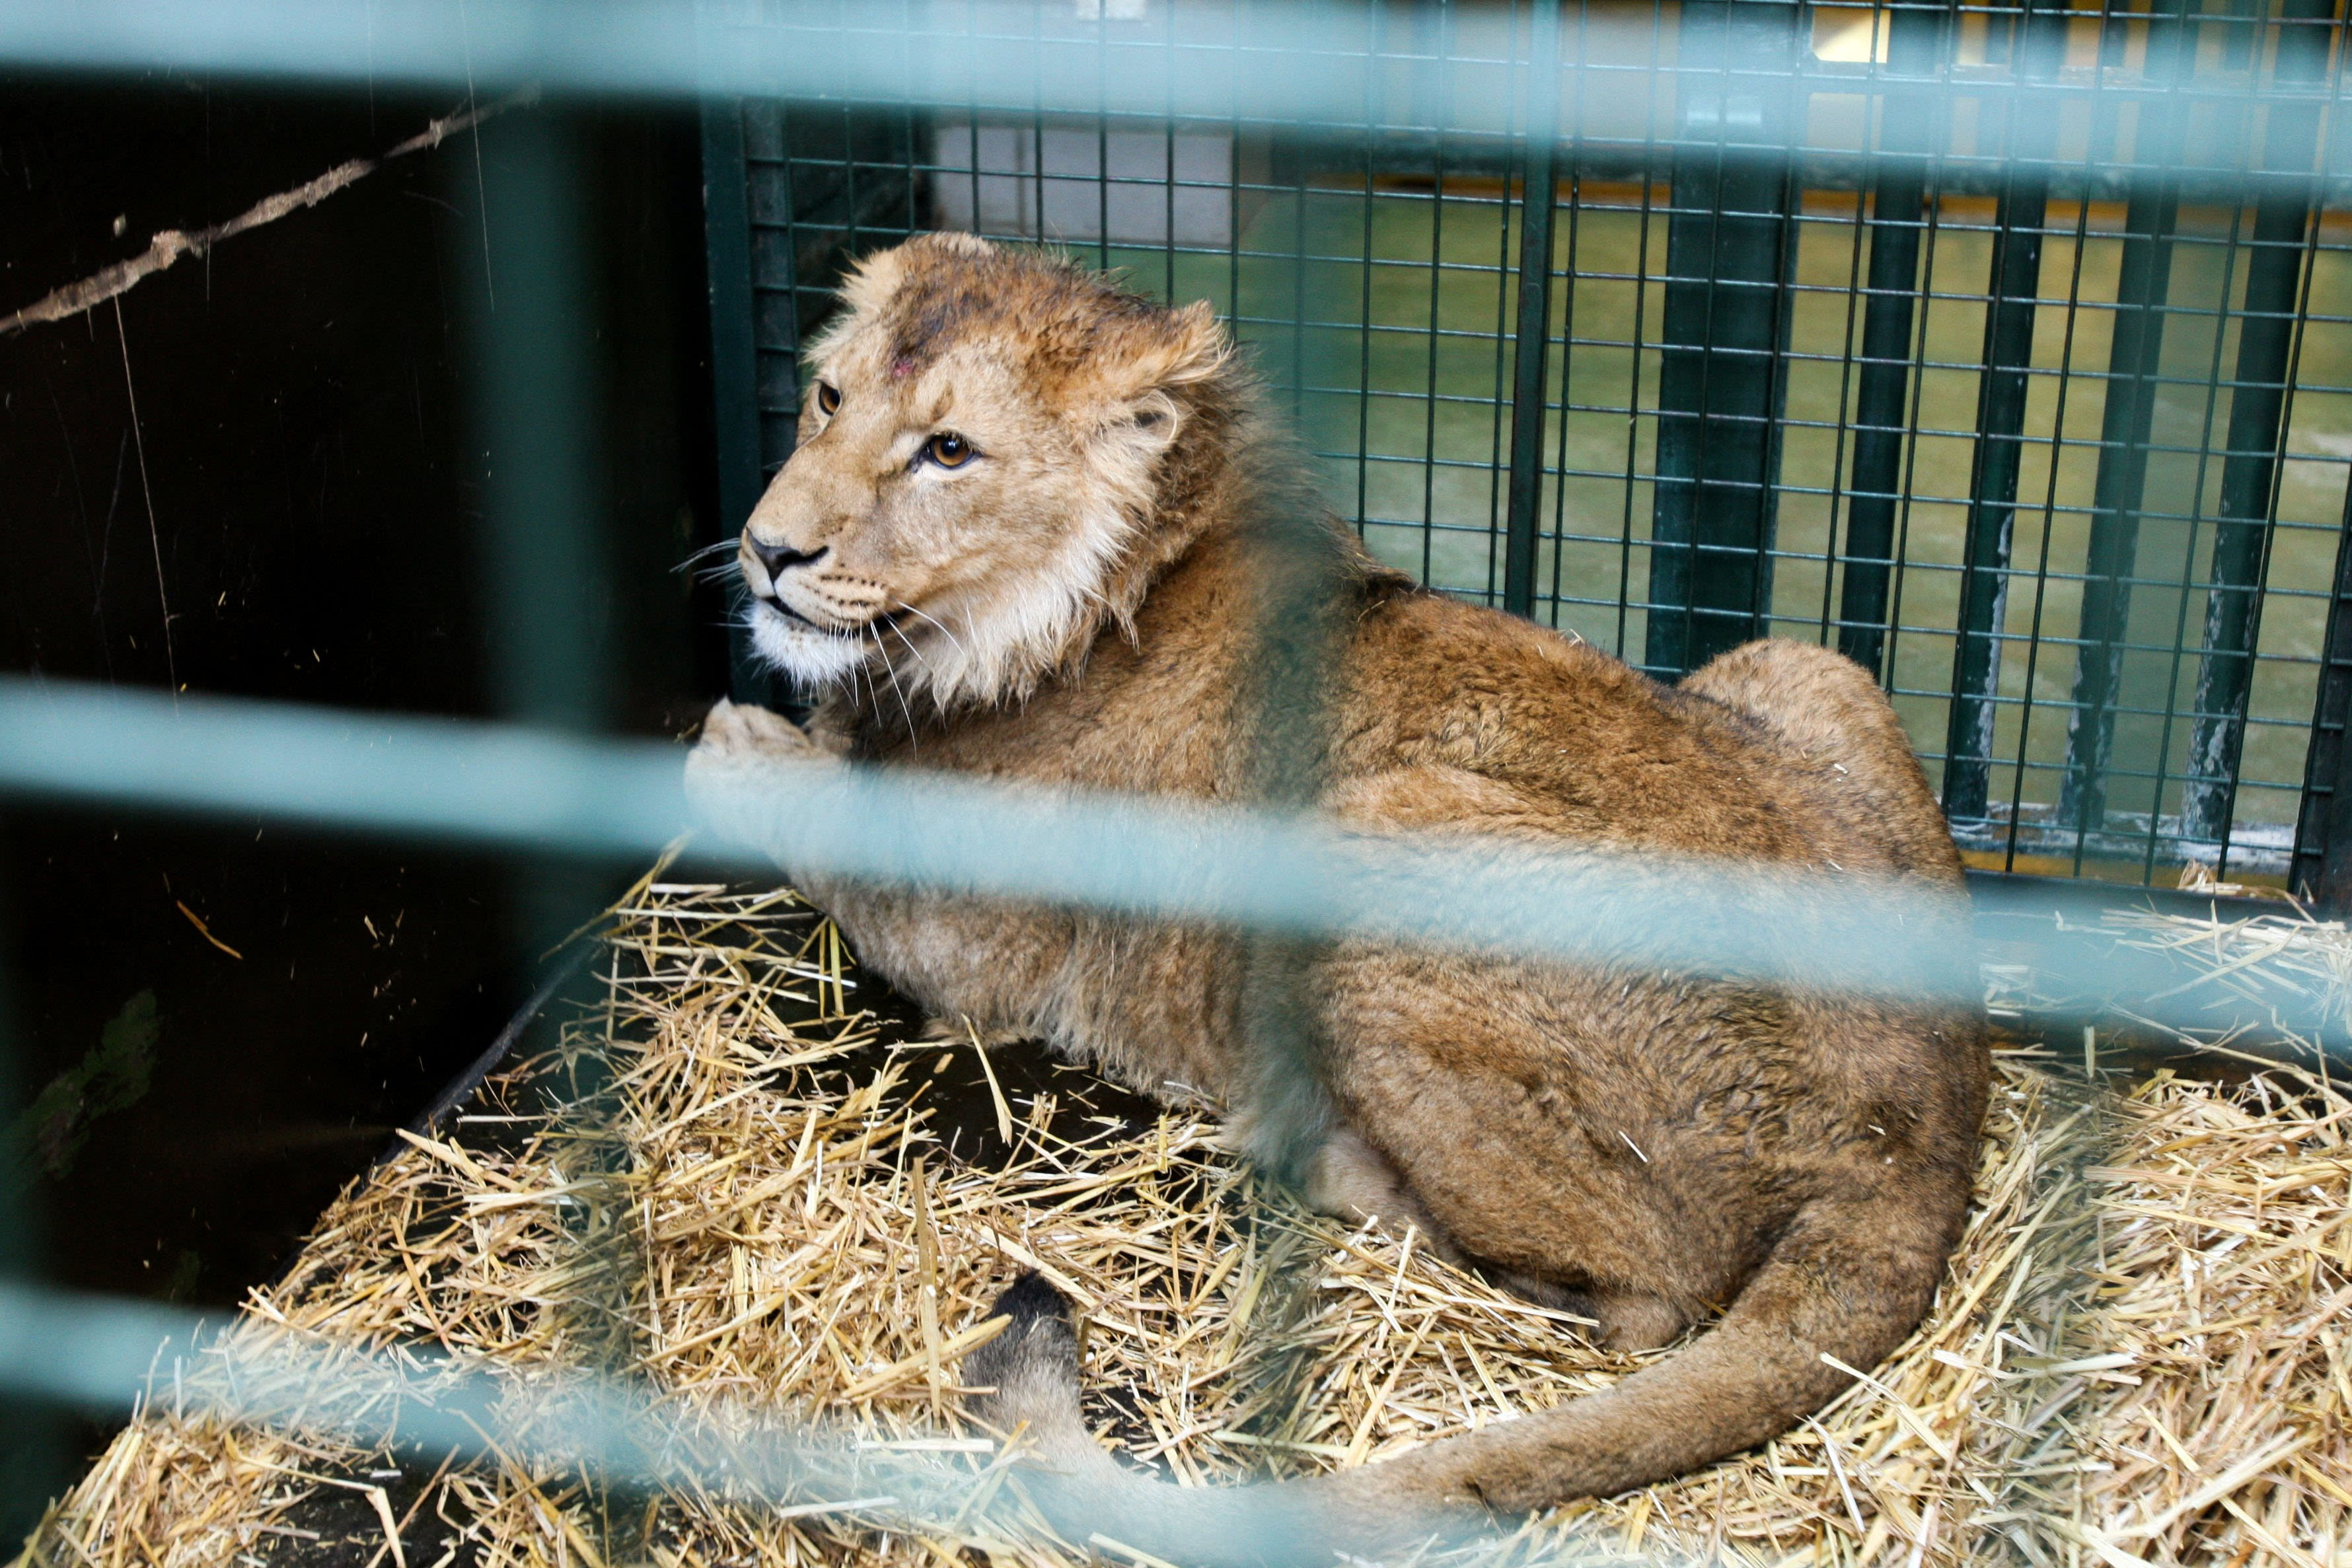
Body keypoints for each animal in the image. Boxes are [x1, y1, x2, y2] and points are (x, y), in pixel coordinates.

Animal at [684, 232, 1988, 1563]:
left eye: (949, 451)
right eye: (829, 396)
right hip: (1808, 665)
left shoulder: (966, 950)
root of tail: (1929, 1132)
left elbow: (817, 814)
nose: (768, 550)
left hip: (1372, 837)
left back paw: (1306, 1150)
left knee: (1637, 1302)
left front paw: (734, 743)